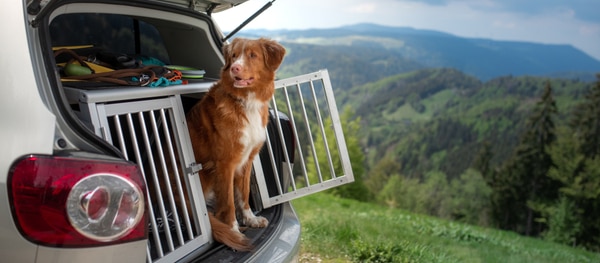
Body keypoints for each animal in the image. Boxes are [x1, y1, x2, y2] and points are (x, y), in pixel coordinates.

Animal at [186, 37, 288, 252]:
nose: (235, 68)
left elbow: (243, 193)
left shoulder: (247, 159)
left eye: (252, 55)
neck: (246, 100)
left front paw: (250, 219)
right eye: (233, 56)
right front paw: (233, 229)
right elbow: (229, 202)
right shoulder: (226, 164)